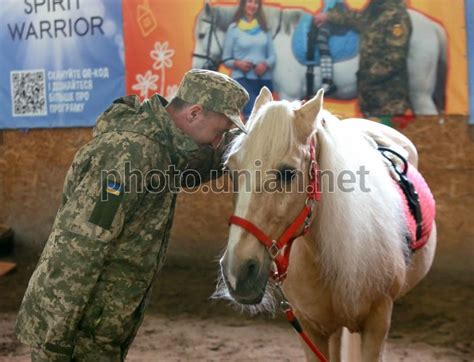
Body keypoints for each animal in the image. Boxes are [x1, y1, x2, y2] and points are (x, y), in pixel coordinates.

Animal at [192, 1, 444, 114]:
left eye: (202, 35)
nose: (196, 68)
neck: (276, 37)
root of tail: (434, 27)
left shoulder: (289, 93)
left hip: (420, 95)